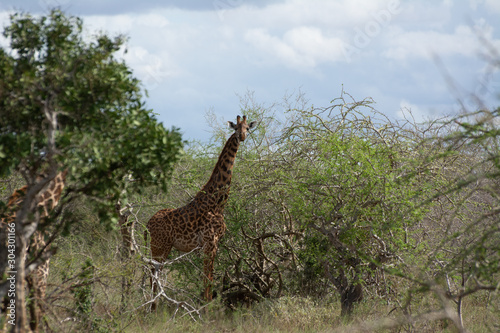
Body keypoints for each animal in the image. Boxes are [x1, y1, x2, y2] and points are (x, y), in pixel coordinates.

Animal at [146, 115, 256, 306]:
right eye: (235, 128)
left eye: (247, 128)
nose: (241, 137)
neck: (218, 203)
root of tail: (148, 223)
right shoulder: (210, 242)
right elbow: (208, 279)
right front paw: (207, 308)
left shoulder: (212, 243)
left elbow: (208, 278)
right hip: (160, 246)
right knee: (153, 275)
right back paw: (151, 307)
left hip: (160, 247)